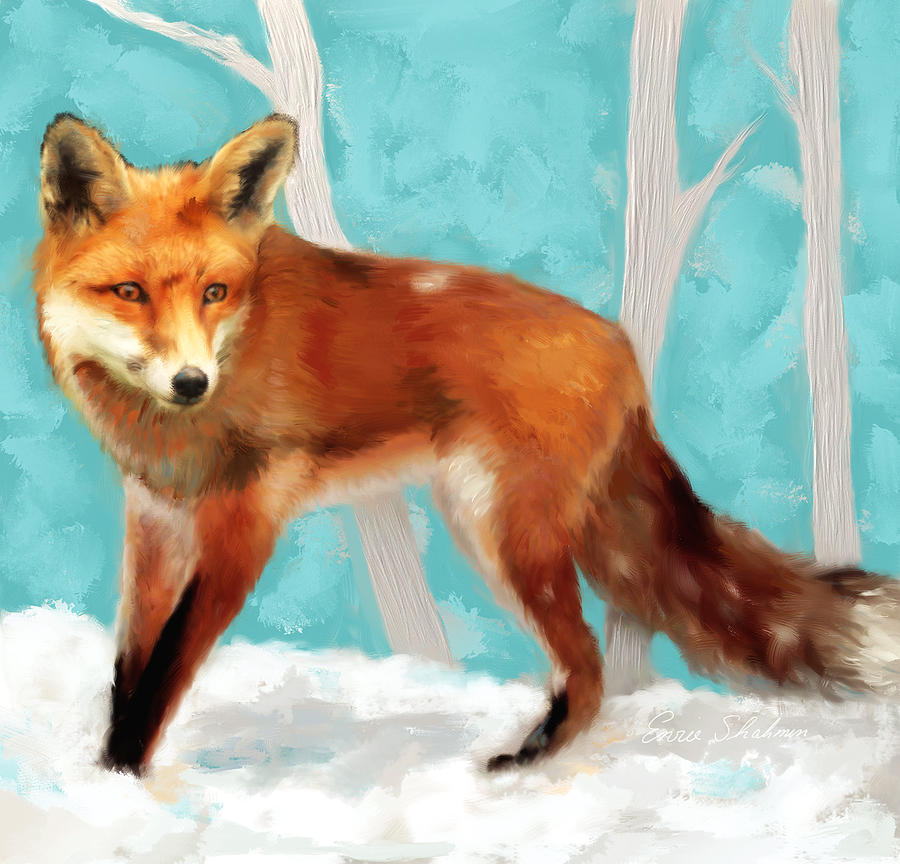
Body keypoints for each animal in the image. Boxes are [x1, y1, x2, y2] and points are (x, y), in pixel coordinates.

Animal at [33, 112, 900, 775]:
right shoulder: (156, 522)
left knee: (588, 664)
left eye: (215, 292)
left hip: (504, 535)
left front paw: (125, 781)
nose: (191, 382)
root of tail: (621, 349)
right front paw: (110, 778)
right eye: (130, 293)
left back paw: (526, 766)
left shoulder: (242, 529)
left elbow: (165, 673)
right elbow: (129, 670)